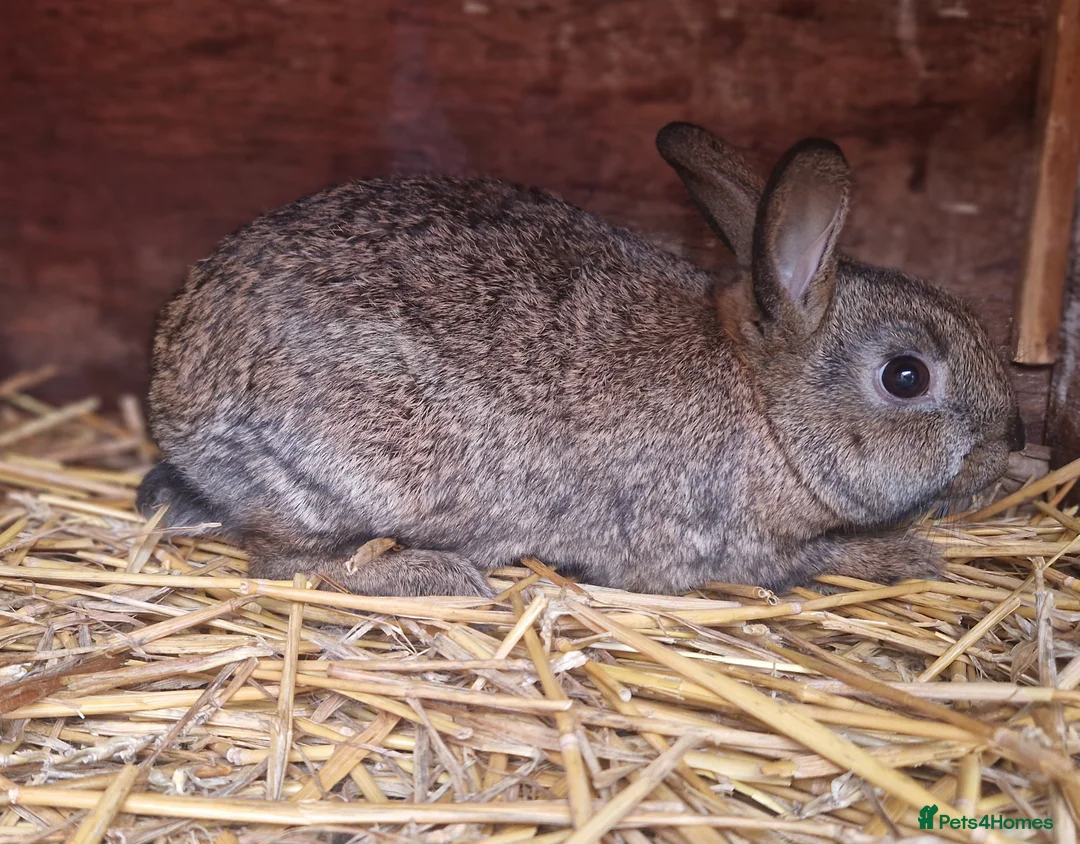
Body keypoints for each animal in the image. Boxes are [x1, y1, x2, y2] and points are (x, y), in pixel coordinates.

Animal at [137, 122, 1025, 598]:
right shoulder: (719, 545)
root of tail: (175, 398)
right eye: (906, 376)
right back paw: (432, 576)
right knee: (287, 562)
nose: (1007, 444)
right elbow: (820, 558)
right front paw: (906, 555)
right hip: (346, 474)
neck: (768, 407)